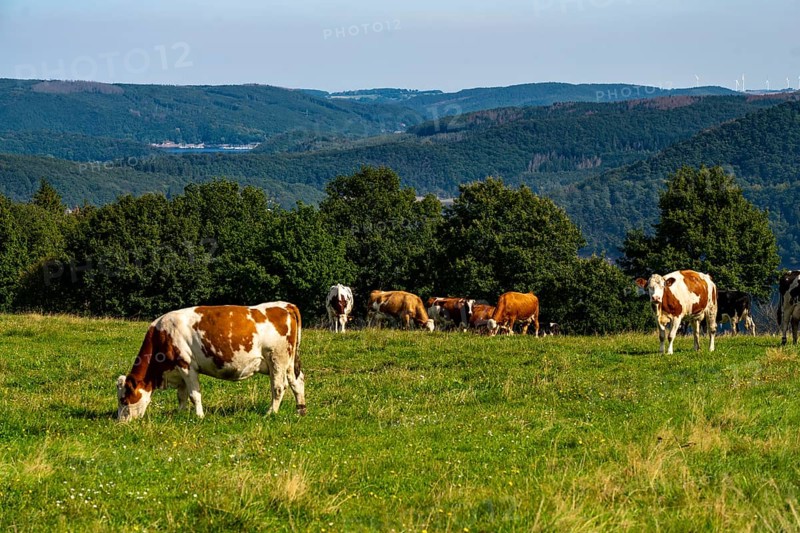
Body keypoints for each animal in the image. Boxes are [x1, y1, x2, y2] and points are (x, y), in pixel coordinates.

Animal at [116, 302, 305, 422]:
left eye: (123, 399)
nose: (120, 422)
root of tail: (286, 305)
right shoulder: (179, 370)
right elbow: (181, 395)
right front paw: (179, 414)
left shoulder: (186, 365)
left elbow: (194, 395)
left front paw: (199, 416)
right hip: (289, 362)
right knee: (297, 382)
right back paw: (300, 410)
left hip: (277, 359)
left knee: (278, 387)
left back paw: (270, 413)